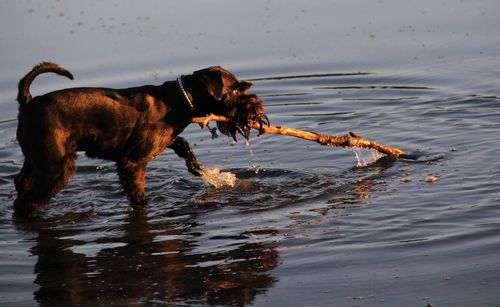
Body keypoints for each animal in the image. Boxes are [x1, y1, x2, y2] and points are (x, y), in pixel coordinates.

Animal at [13, 62, 268, 217]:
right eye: (234, 92)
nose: (257, 110)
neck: (175, 101)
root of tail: (28, 103)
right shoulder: (132, 164)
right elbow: (138, 195)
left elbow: (184, 147)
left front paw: (202, 171)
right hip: (56, 168)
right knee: (27, 202)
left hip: (35, 160)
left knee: (20, 183)